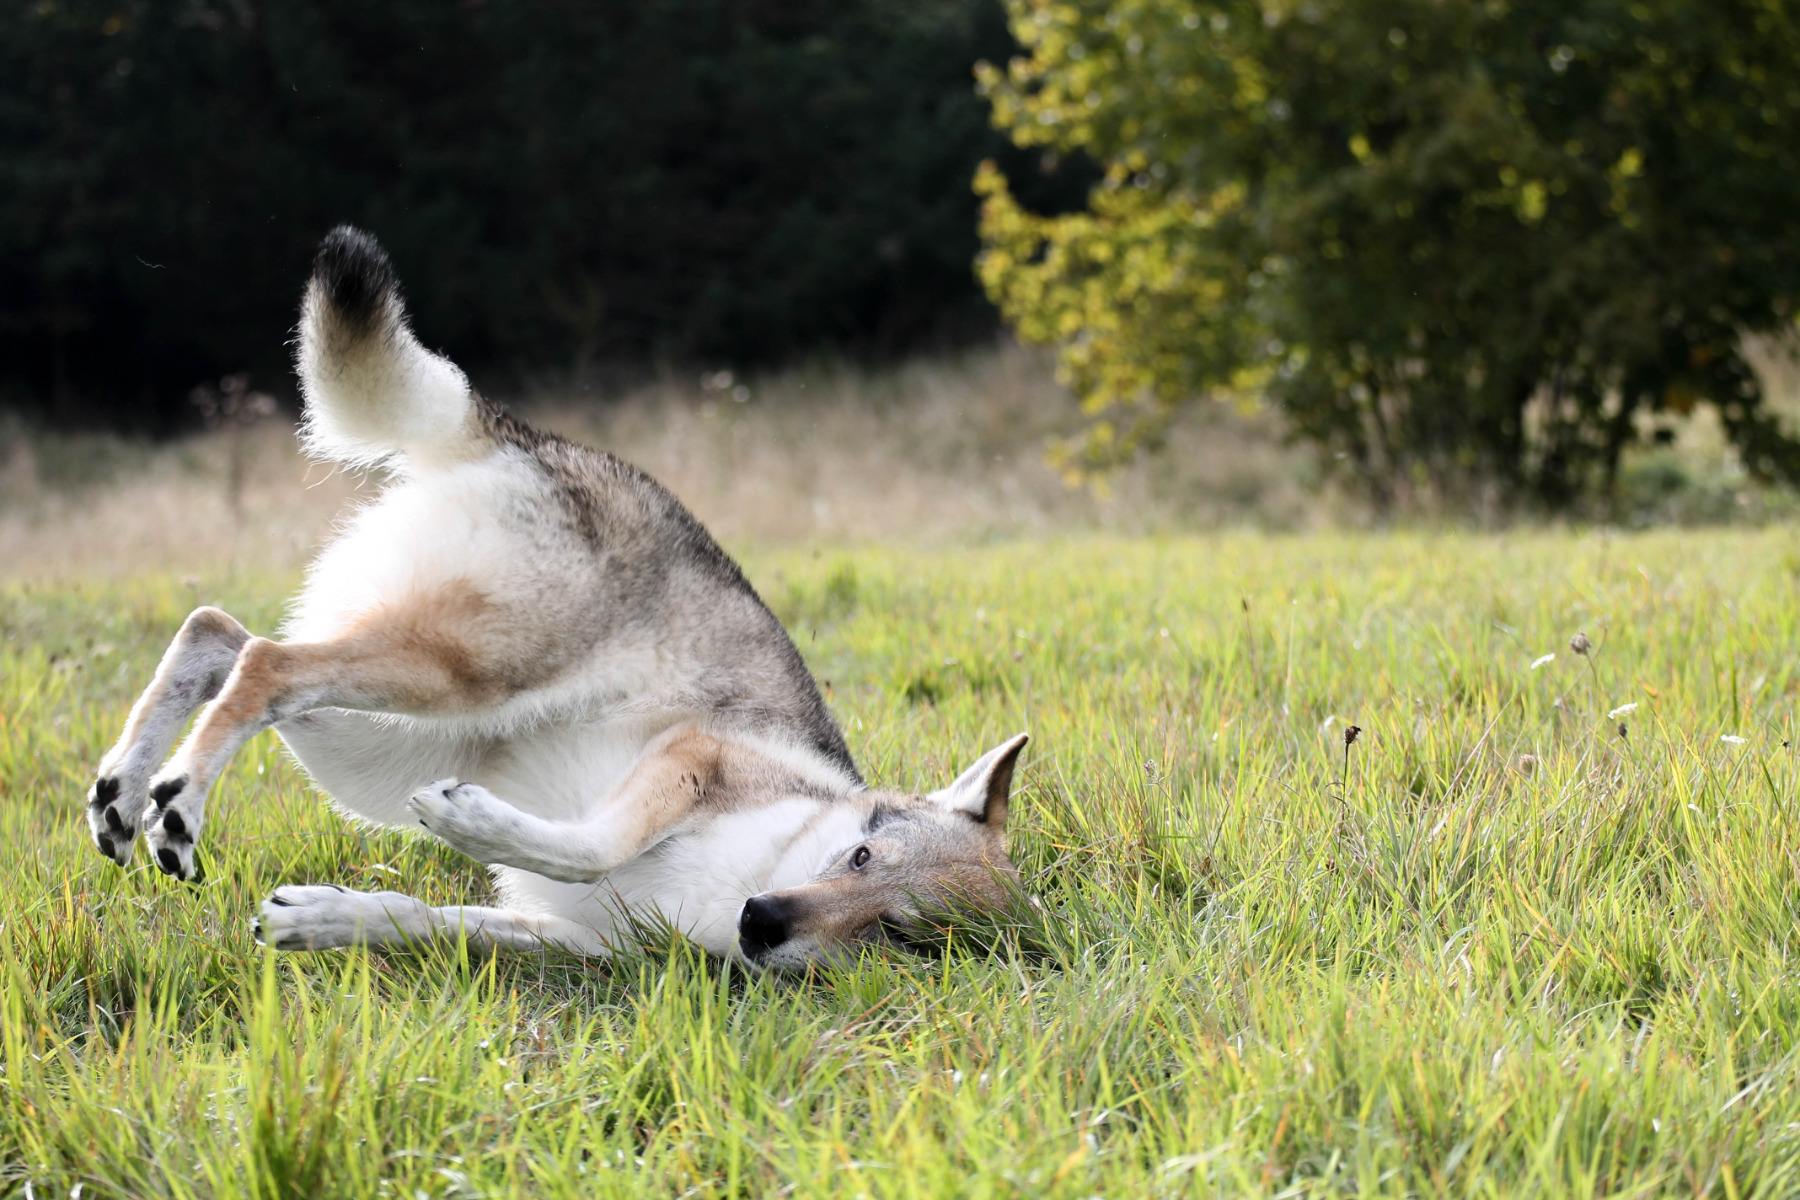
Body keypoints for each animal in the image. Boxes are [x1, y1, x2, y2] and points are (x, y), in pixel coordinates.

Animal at [87, 227, 1029, 978]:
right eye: (859, 856)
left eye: (898, 934)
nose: (762, 922)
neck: (736, 880)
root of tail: (524, 435)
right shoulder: (691, 756)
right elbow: (590, 845)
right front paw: (469, 823)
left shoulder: (577, 941)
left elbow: (420, 916)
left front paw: (325, 917)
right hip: (454, 677)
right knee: (262, 662)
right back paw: (177, 801)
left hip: (376, 735)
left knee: (220, 636)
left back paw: (125, 794)